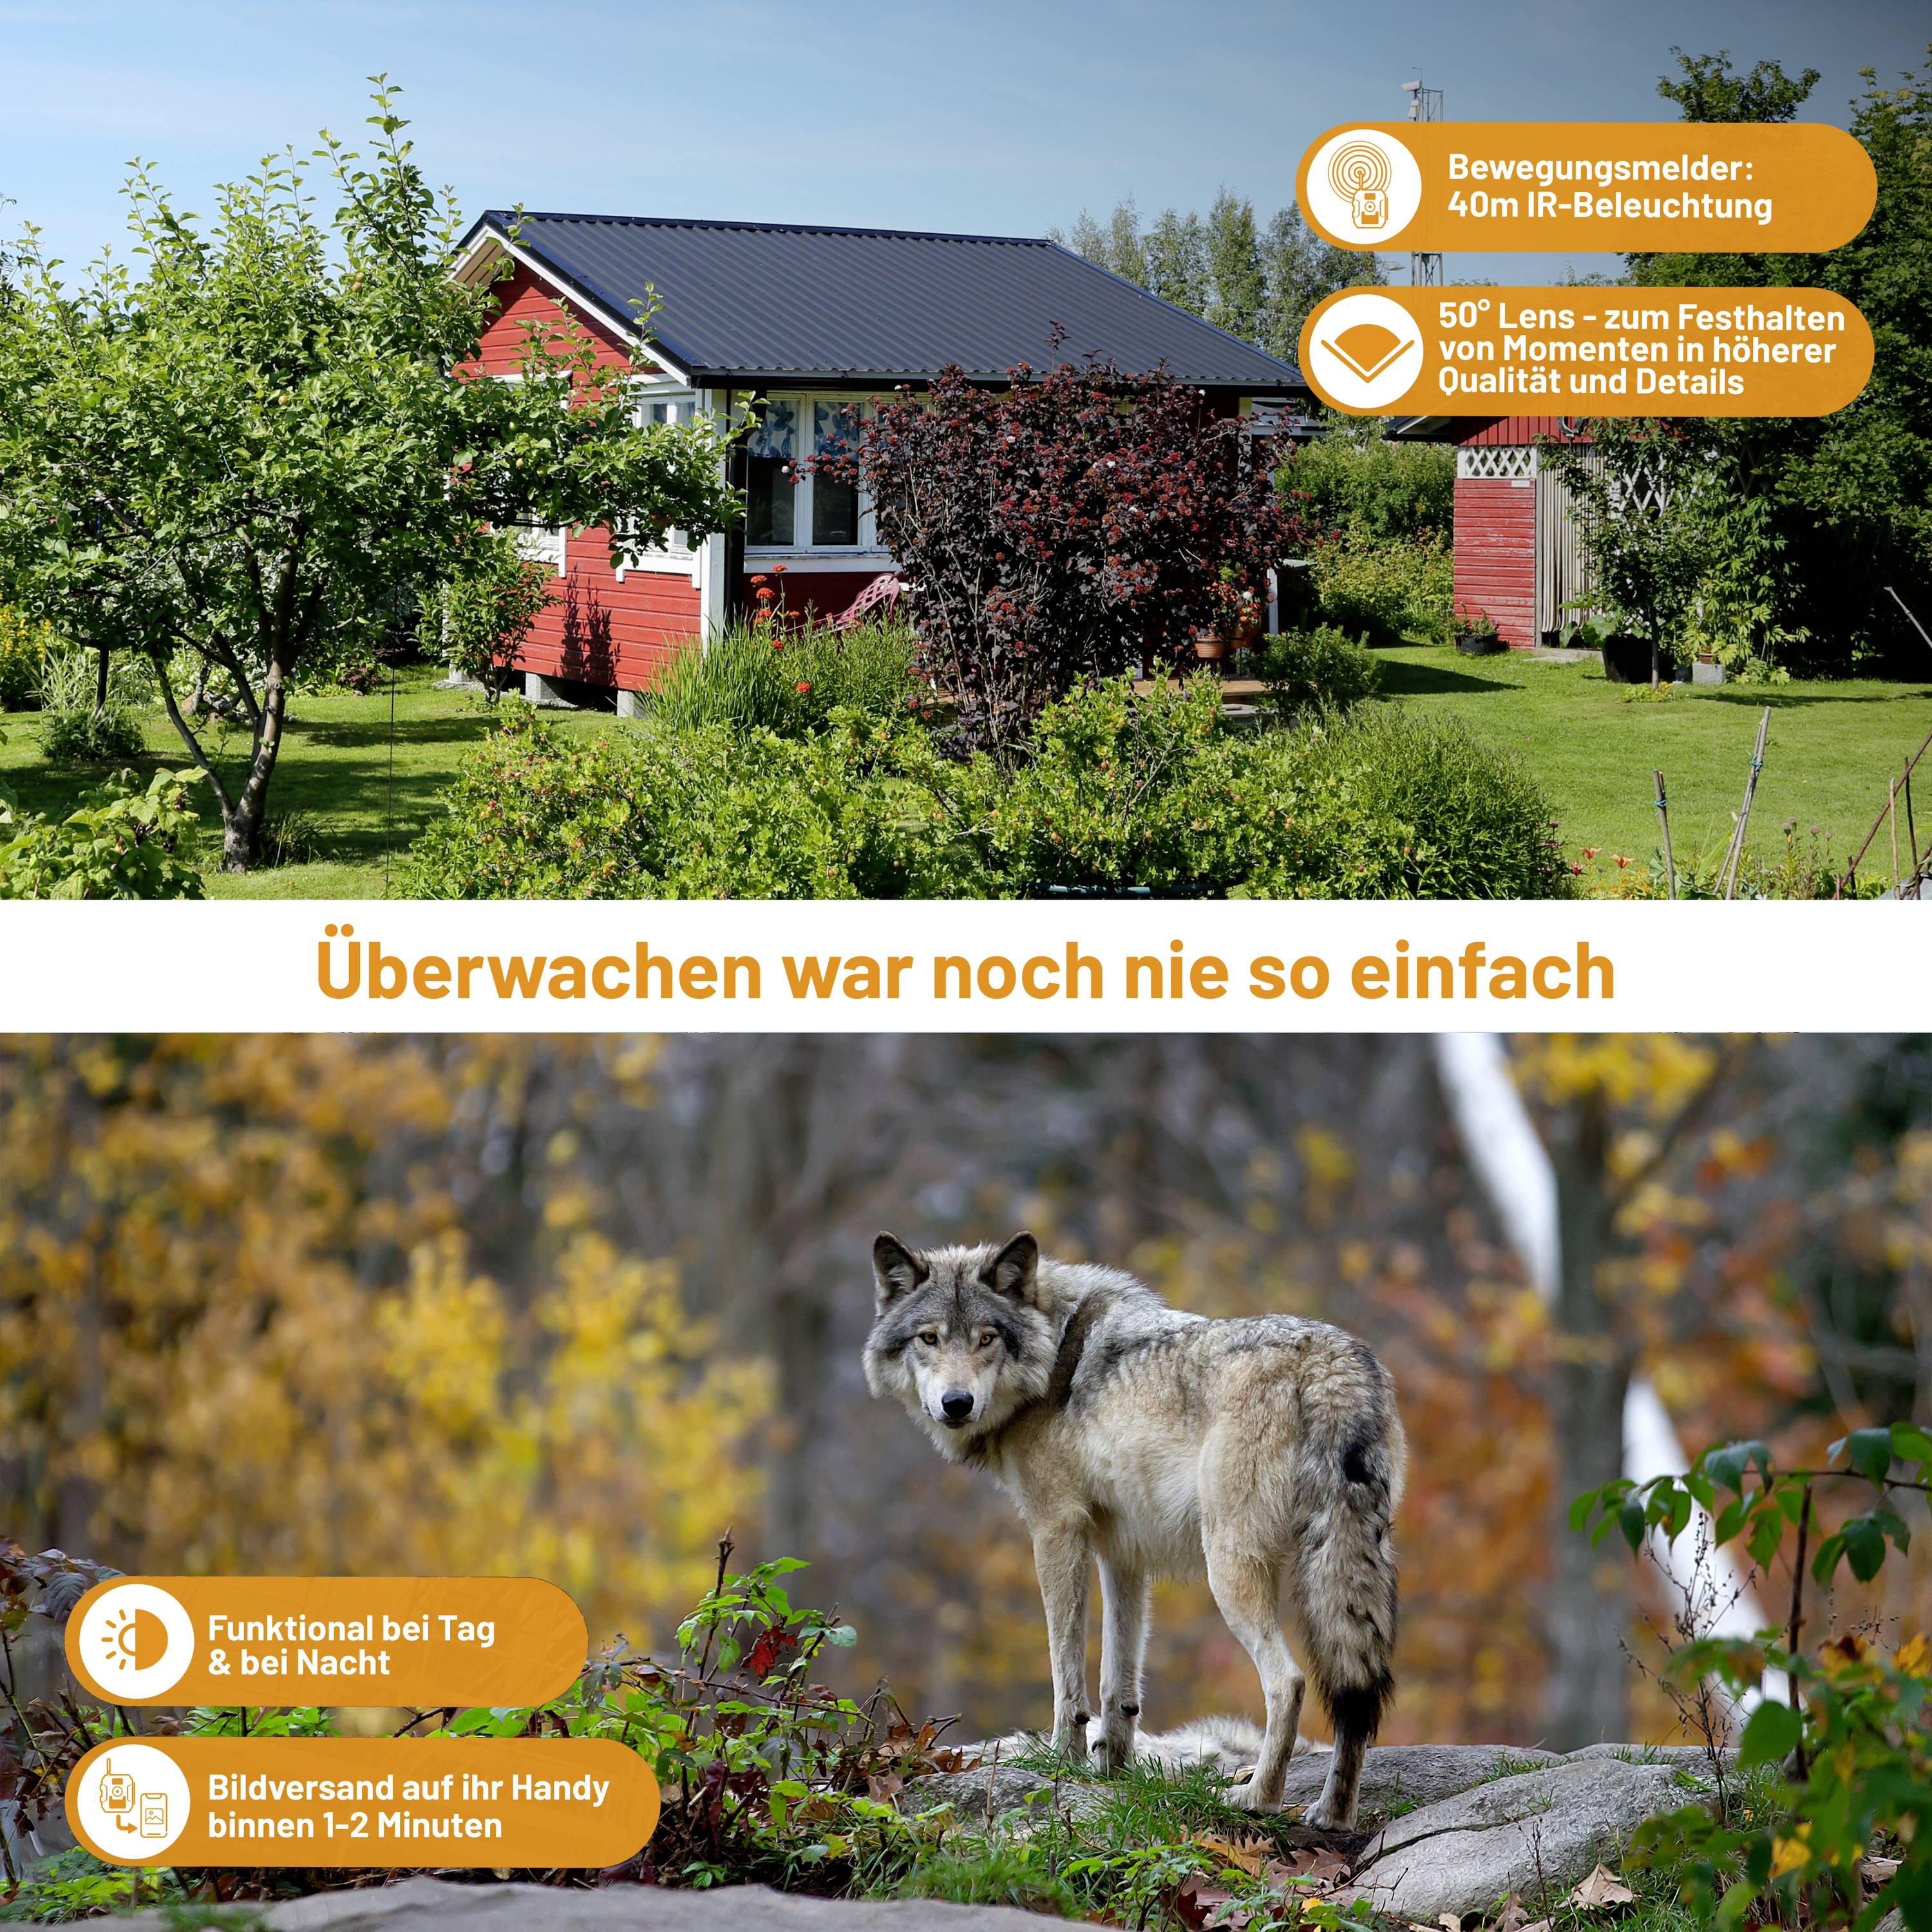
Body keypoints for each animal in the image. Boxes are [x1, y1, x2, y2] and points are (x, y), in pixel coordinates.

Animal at [863, 1231, 1405, 1828]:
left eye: (987, 1339)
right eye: (929, 1338)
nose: (956, 1404)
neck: (1054, 1356)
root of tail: (1331, 1362)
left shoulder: (1055, 1532)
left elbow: (1066, 1671)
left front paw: (1065, 1761)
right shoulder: (1122, 1553)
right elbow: (1117, 1681)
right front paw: (1113, 1771)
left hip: (1229, 1569)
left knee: (1288, 1681)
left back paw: (1257, 1798)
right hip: (1350, 1562)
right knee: (1356, 1693)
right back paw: (1332, 1814)